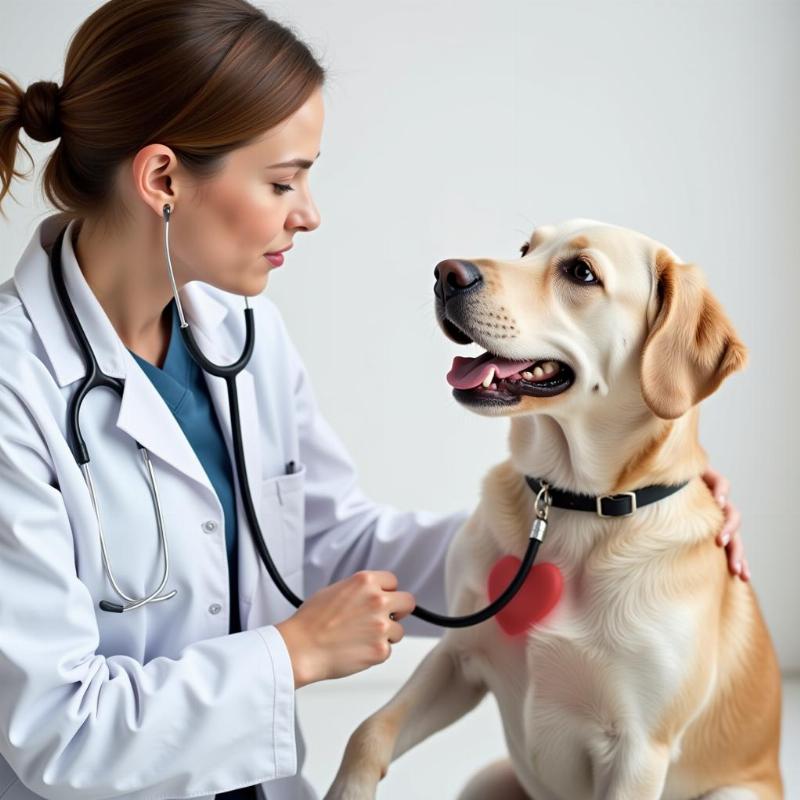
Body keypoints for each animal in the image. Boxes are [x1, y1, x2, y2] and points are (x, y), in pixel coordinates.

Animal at [320, 219, 780, 800]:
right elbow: (370, 730)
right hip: (488, 778)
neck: (572, 505)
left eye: (581, 272)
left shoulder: (639, 749)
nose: (446, 274)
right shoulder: (457, 657)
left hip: (733, 790)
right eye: (525, 249)